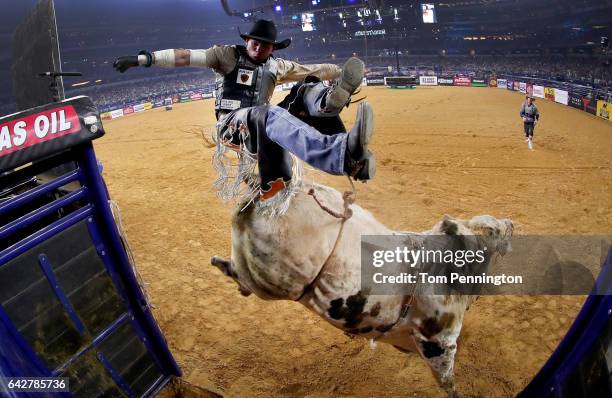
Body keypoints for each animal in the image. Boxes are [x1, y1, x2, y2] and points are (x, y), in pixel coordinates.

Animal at [210, 182, 512, 396]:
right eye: (493, 230)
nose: (509, 225)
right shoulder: (438, 342)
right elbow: (447, 378)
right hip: (274, 280)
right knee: (248, 277)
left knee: (238, 269)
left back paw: (222, 265)